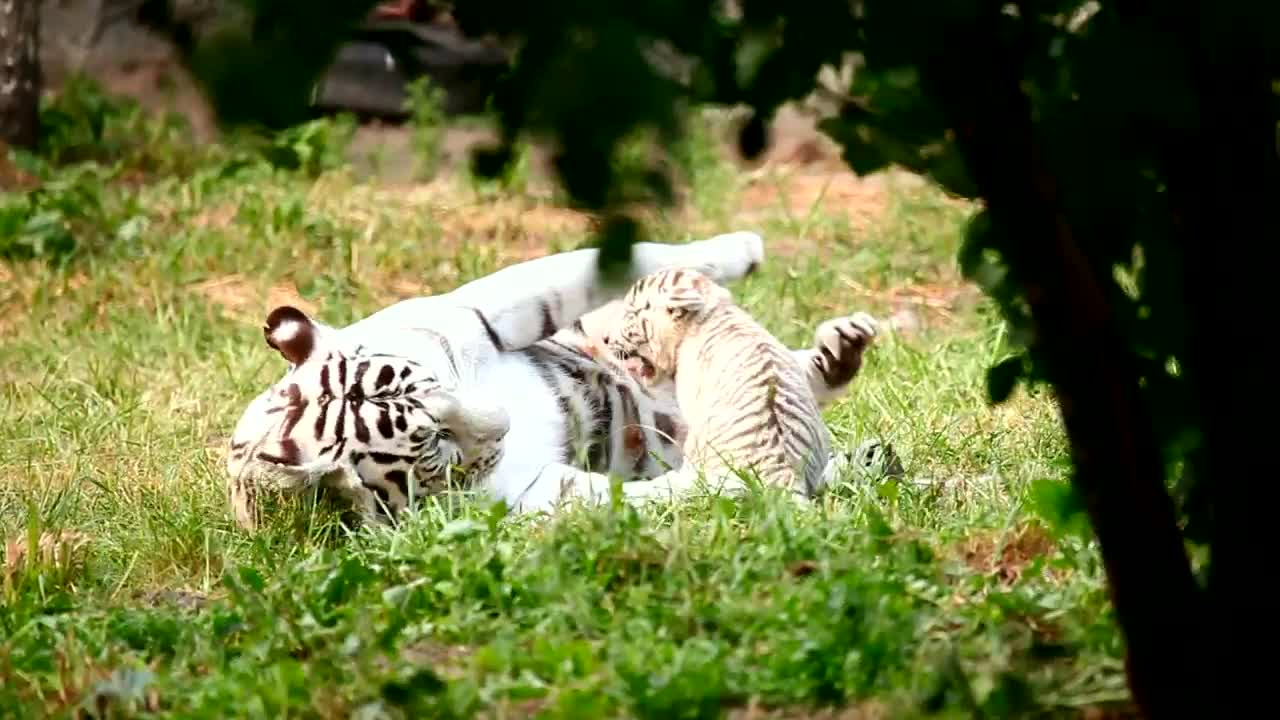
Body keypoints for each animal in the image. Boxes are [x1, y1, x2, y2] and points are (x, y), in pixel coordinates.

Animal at [224, 231, 883, 529]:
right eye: (434, 447)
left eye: (434, 384)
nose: (504, 422)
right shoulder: (531, 492)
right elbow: (641, 497)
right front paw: (733, 487)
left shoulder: (478, 309)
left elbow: (627, 256)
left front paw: (741, 248)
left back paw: (840, 348)